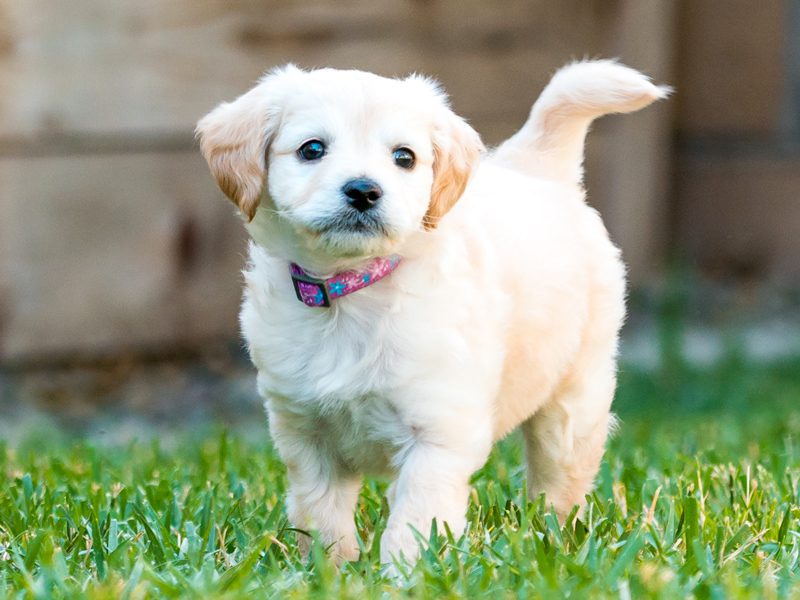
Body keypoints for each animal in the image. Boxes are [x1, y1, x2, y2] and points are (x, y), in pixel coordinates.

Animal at [195, 61, 668, 568]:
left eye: (404, 157)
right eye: (312, 149)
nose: (363, 190)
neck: (355, 290)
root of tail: (535, 167)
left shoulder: (440, 432)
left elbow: (417, 518)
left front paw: (403, 572)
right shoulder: (304, 432)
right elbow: (321, 513)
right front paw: (331, 567)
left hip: (574, 403)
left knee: (559, 478)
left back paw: (555, 537)